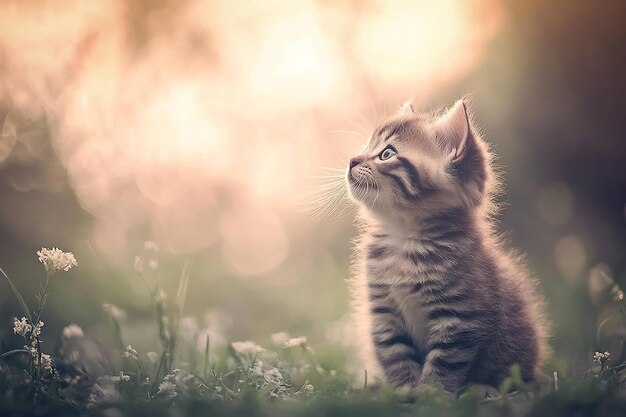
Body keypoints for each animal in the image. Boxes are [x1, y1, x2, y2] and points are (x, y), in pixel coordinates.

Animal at [346, 97, 544, 394]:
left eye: (386, 154)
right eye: (367, 146)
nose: (351, 160)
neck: (404, 239)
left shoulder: (461, 316)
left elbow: (445, 361)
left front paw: (431, 394)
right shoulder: (383, 312)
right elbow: (395, 354)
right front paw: (403, 390)